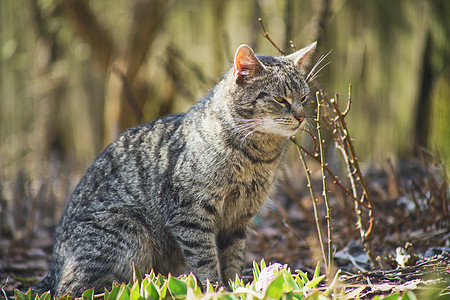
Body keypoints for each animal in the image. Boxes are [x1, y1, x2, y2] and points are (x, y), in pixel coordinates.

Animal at [32, 41, 316, 296]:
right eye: (280, 99)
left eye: (304, 98)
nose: (302, 116)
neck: (258, 156)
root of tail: (53, 268)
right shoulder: (191, 212)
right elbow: (205, 258)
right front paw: (217, 289)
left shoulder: (240, 218)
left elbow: (233, 258)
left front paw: (237, 287)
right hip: (128, 233)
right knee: (73, 289)